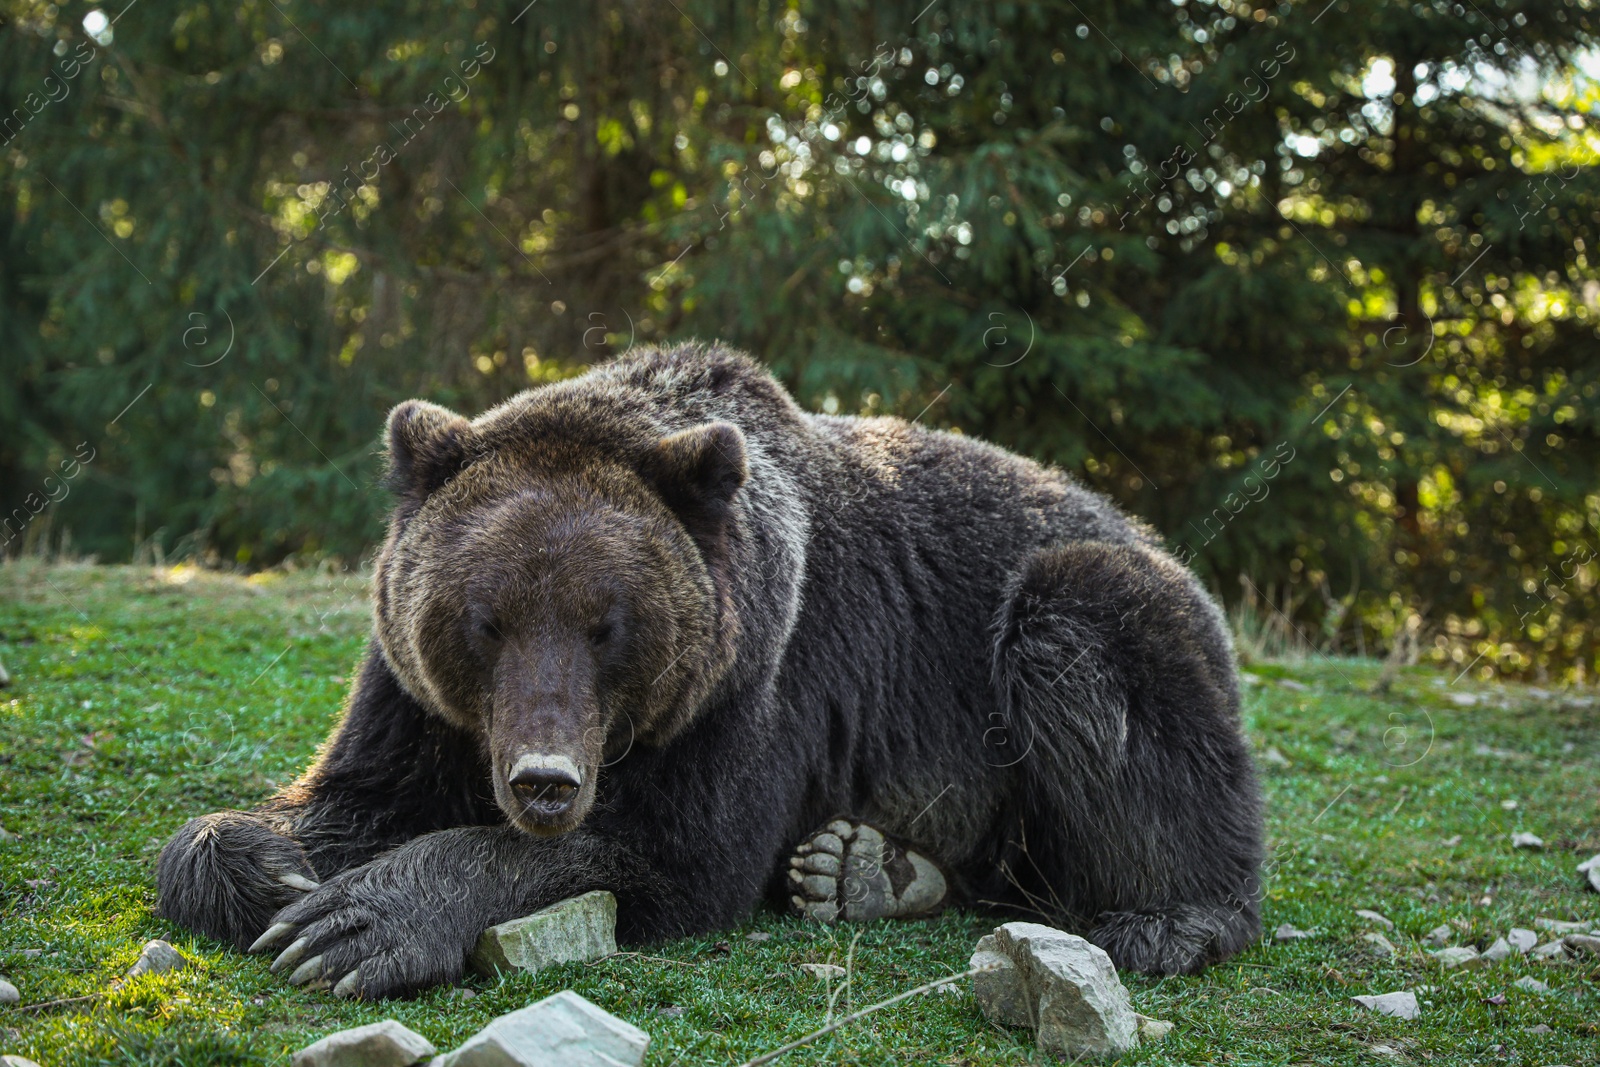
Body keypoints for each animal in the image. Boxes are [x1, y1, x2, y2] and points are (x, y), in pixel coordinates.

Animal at [159, 343, 1260, 1004]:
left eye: (607, 624)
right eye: (485, 619)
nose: (544, 780)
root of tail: (1135, 519)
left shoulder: (758, 686)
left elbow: (672, 852)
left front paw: (360, 922)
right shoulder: (416, 703)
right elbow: (334, 800)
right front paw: (275, 870)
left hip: (1064, 623)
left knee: (1094, 651)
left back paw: (1169, 916)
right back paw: (867, 868)